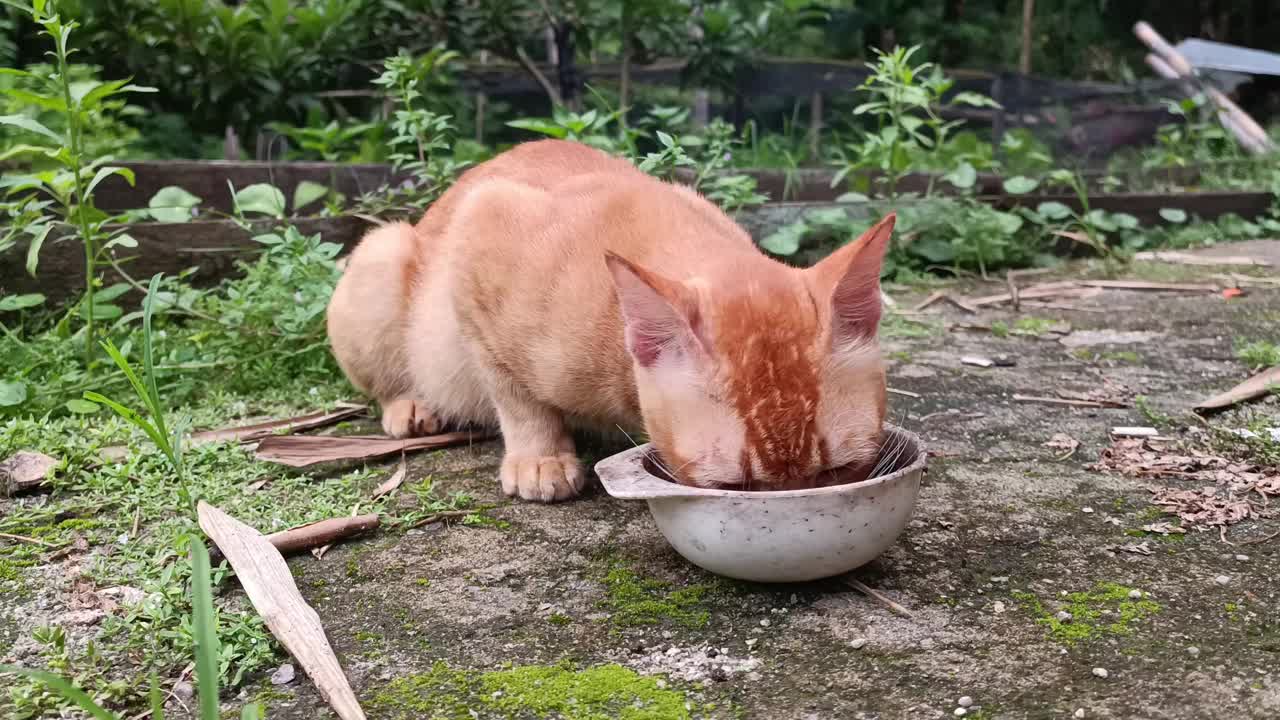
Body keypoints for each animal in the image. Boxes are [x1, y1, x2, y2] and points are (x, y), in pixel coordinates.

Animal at [325, 139, 896, 499]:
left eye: (842, 469)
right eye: (730, 487)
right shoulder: (480, 230)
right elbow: (514, 394)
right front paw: (540, 457)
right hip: (383, 252)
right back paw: (410, 405)